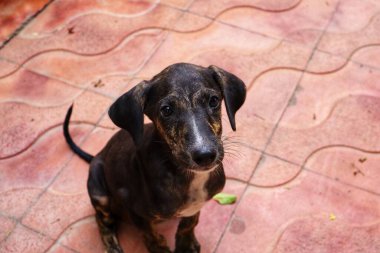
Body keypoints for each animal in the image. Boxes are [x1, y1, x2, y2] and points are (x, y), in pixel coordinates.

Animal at [62, 62, 246, 252]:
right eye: (166, 110)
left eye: (213, 101)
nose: (205, 156)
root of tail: (97, 155)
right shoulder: (134, 209)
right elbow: (152, 237)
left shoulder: (196, 205)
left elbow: (189, 222)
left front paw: (186, 245)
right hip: (99, 189)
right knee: (103, 220)